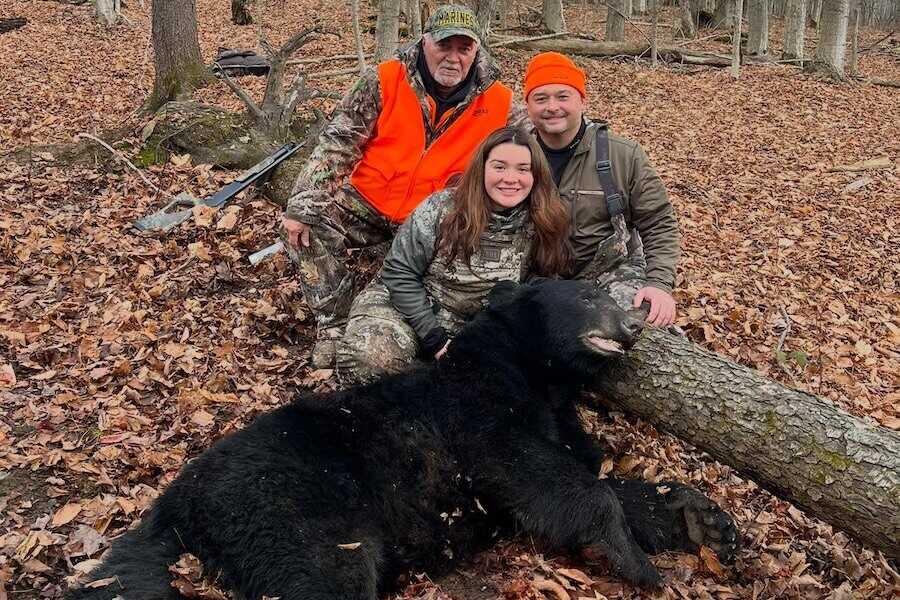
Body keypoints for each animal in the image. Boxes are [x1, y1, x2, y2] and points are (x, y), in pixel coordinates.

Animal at [66, 279, 739, 600]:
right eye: (589, 294)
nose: (634, 322)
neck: (533, 373)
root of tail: (176, 502)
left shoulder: (556, 423)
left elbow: (586, 477)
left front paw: (705, 519)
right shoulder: (476, 416)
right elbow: (532, 473)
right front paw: (641, 565)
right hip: (289, 508)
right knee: (316, 577)